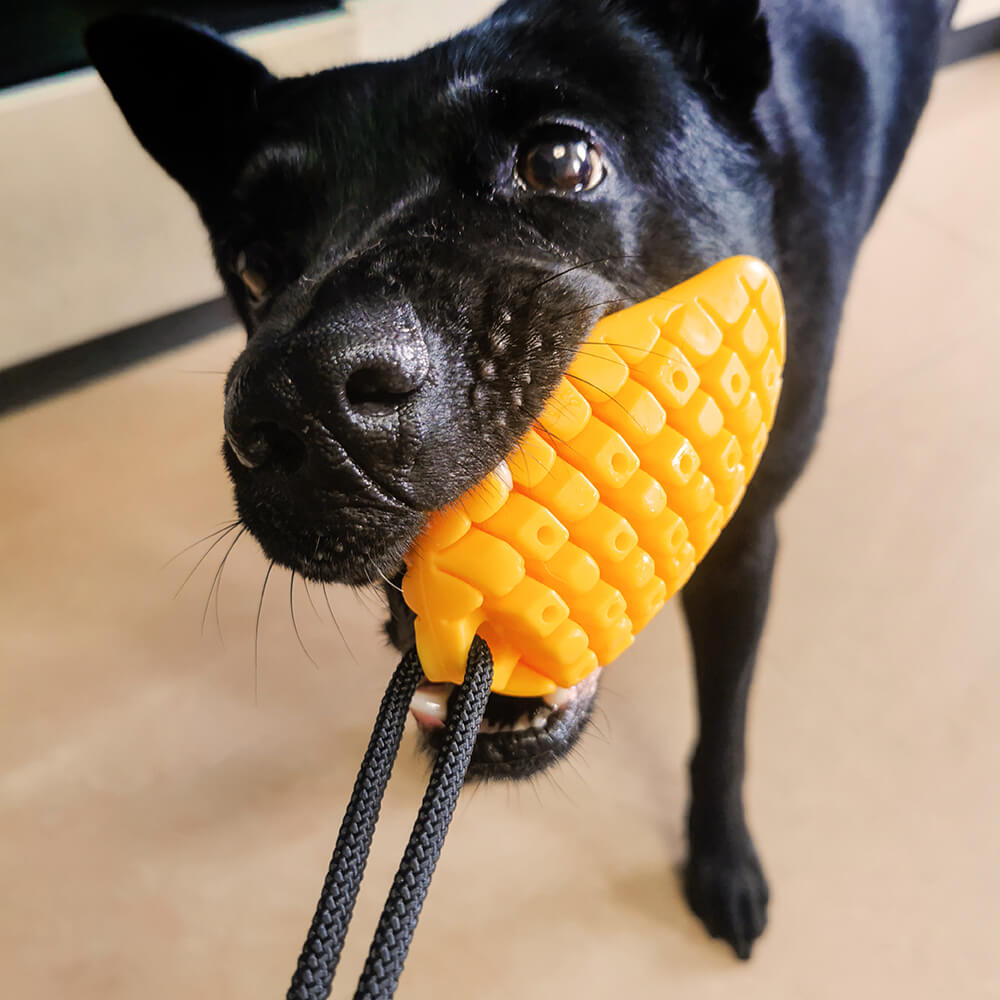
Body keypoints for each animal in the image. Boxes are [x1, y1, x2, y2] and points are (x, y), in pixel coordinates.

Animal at [84, 0, 952, 960]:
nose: (303, 402)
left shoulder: (744, 545)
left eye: (563, 161)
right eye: (254, 265)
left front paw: (722, 858)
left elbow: (723, 727)